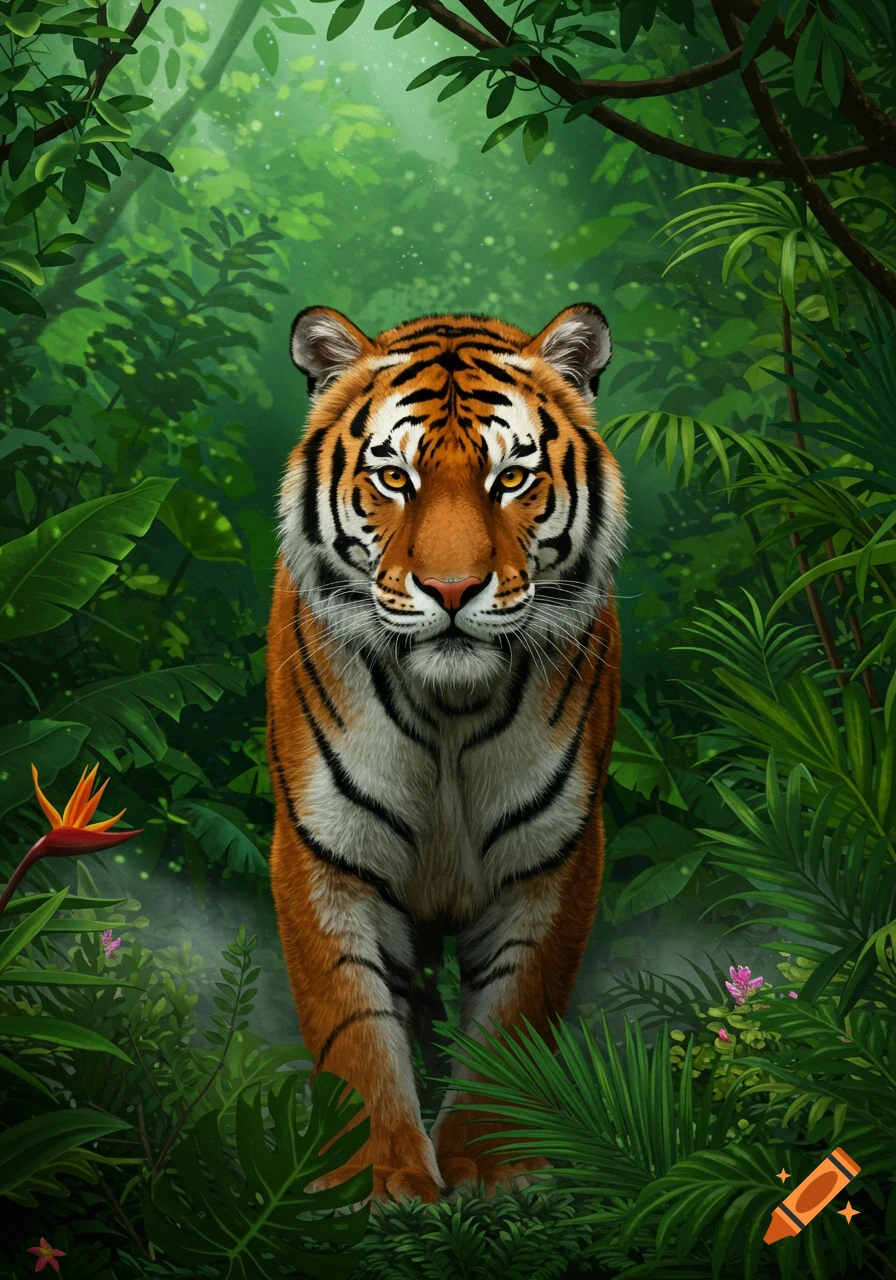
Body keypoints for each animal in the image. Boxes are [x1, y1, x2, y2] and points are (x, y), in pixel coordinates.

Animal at [266, 303, 625, 1205]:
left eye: (511, 479)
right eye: (396, 478)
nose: (454, 590)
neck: (451, 713)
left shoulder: (554, 856)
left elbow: (513, 1016)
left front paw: (489, 1169)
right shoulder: (324, 851)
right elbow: (352, 1023)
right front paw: (376, 1180)